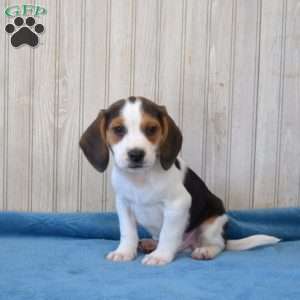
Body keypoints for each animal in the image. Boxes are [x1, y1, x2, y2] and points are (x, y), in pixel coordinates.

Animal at [79, 96, 278, 264]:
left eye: (151, 129)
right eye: (118, 129)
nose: (136, 154)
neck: (141, 178)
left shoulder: (177, 205)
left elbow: (168, 234)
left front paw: (160, 256)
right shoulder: (124, 205)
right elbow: (128, 232)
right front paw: (124, 252)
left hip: (212, 223)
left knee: (218, 245)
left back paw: (204, 251)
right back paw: (150, 244)